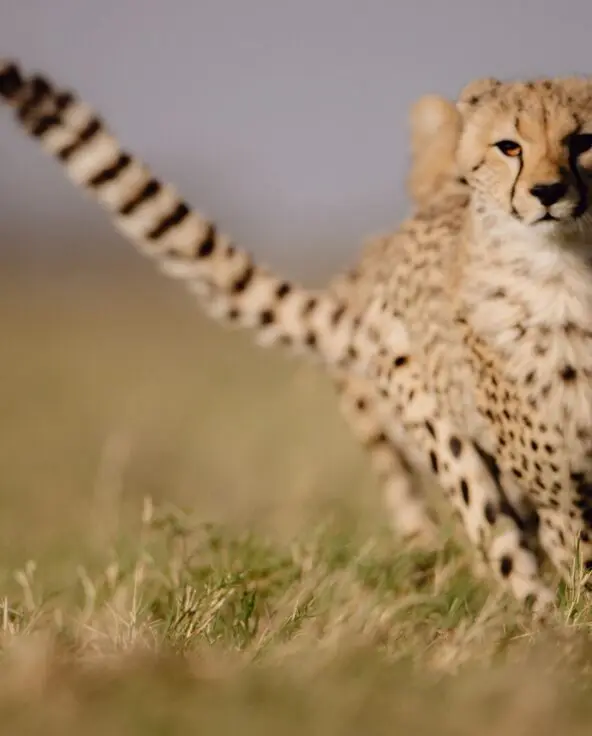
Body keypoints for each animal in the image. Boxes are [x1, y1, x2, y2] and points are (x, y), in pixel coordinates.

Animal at [5, 60, 592, 614]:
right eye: (509, 146)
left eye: (581, 141)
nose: (547, 192)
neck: (566, 274)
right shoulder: (557, 489)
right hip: (446, 444)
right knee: (501, 548)